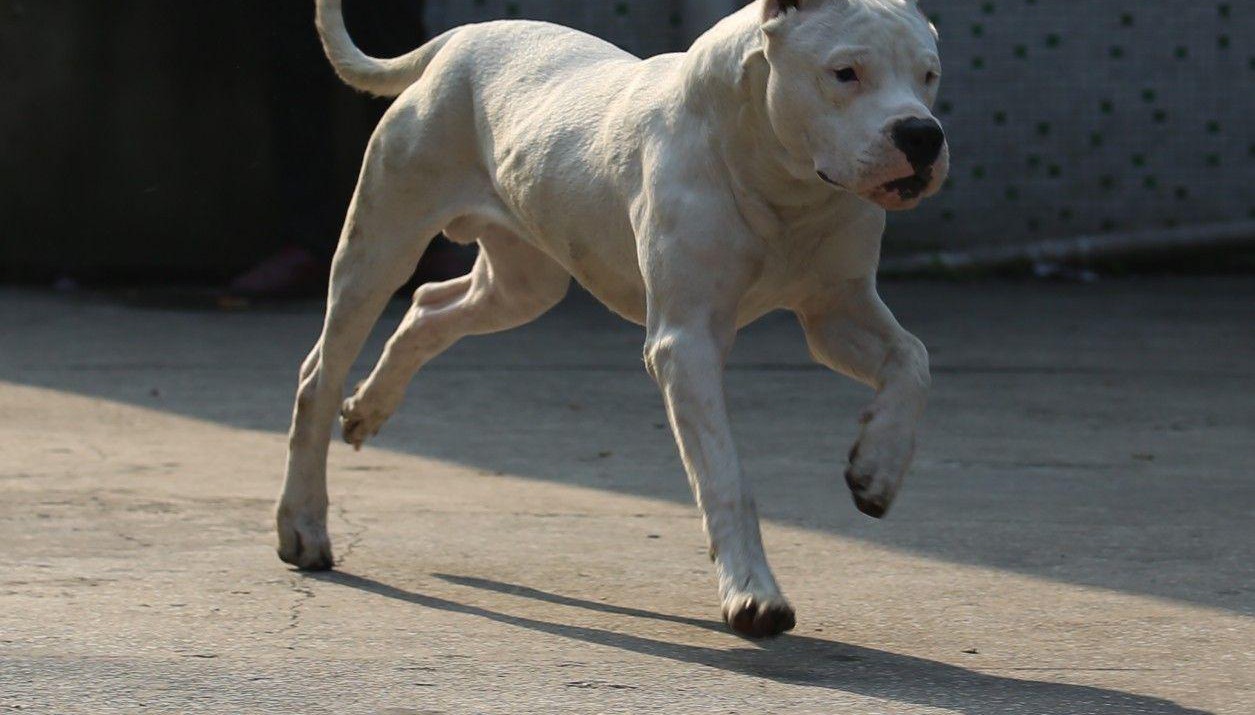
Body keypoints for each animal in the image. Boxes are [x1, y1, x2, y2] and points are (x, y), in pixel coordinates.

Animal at [277, 0, 943, 634]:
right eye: (845, 72)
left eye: (929, 75)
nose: (922, 133)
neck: (781, 180)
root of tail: (457, 40)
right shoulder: (687, 342)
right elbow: (725, 477)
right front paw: (753, 594)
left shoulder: (835, 310)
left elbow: (913, 360)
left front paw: (877, 467)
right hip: (379, 247)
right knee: (319, 372)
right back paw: (303, 524)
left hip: (522, 284)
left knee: (428, 307)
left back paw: (369, 408)